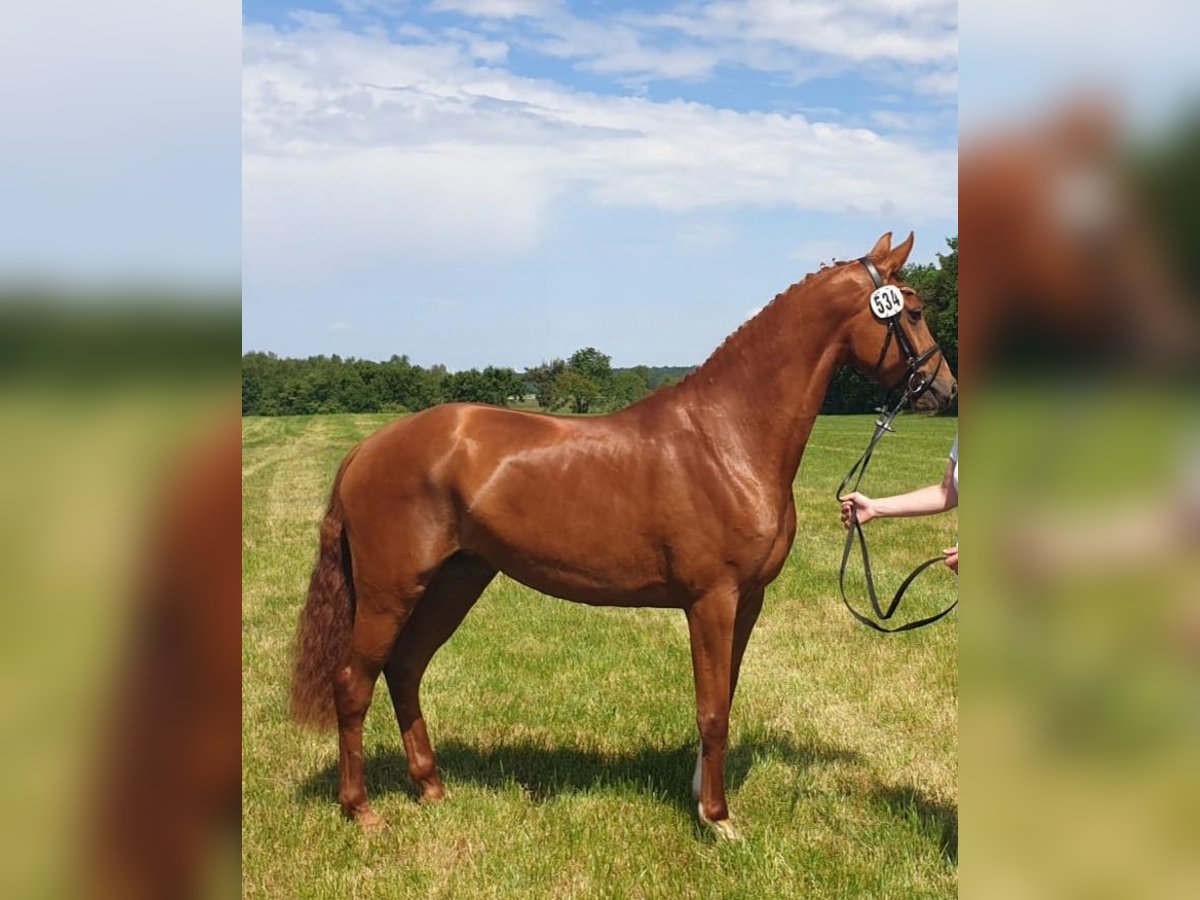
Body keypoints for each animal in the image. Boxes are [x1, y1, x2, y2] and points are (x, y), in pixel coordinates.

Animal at [290, 230, 955, 840]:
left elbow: (725, 697)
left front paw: (701, 799)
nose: (944, 389)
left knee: (405, 669)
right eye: (914, 311)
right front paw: (718, 821)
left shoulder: (748, 602)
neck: (728, 437)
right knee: (354, 683)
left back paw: (431, 788)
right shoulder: (711, 601)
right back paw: (361, 811)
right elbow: (712, 710)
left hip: (457, 580)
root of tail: (367, 448)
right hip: (391, 591)